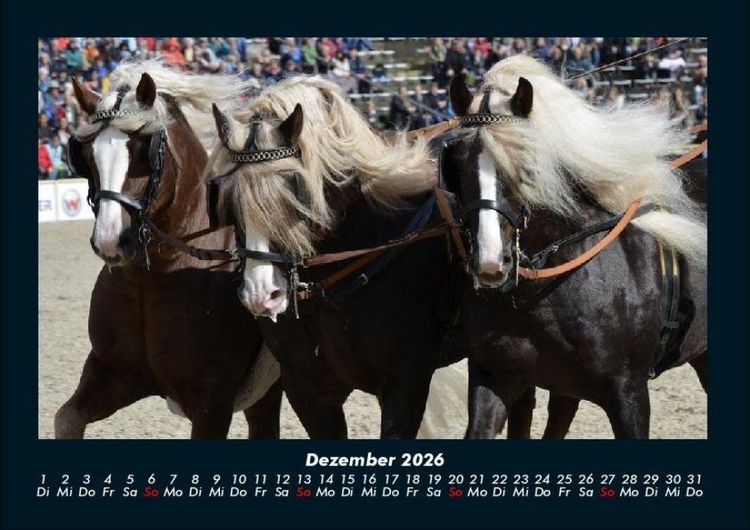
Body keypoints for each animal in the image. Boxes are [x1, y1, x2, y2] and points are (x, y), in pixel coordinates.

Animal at [54, 61, 282, 439]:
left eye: (144, 149)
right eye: (86, 155)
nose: (110, 241)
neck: (153, 277)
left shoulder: (212, 404)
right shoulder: (113, 375)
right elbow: (67, 418)